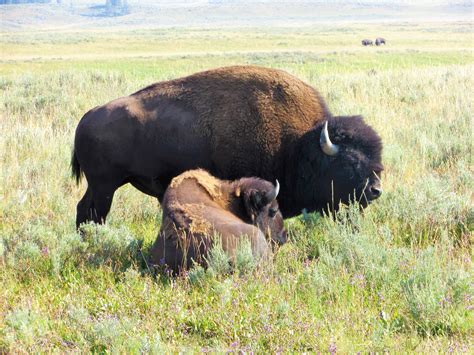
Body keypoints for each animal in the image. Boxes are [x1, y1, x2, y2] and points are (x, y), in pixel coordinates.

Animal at [72, 65, 384, 228]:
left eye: (377, 161)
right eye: (351, 163)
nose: (375, 191)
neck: (299, 145)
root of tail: (86, 117)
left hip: (101, 185)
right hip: (105, 186)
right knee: (92, 212)